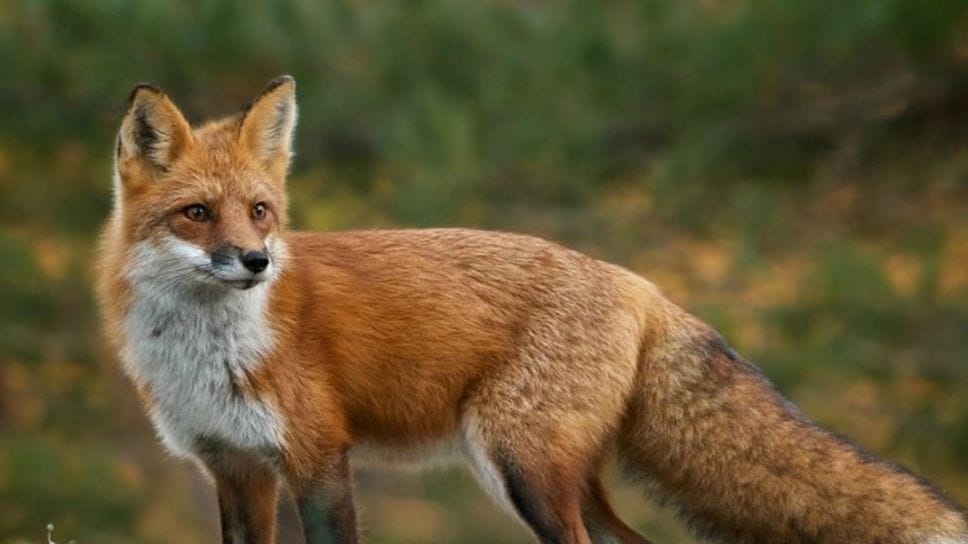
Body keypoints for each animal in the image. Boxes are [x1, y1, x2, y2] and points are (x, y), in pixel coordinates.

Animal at [96, 75, 968, 544]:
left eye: (261, 211)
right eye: (198, 215)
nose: (257, 262)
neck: (206, 356)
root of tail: (638, 283)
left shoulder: (316, 457)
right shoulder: (235, 468)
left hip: (524, 469)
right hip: (557, 478)